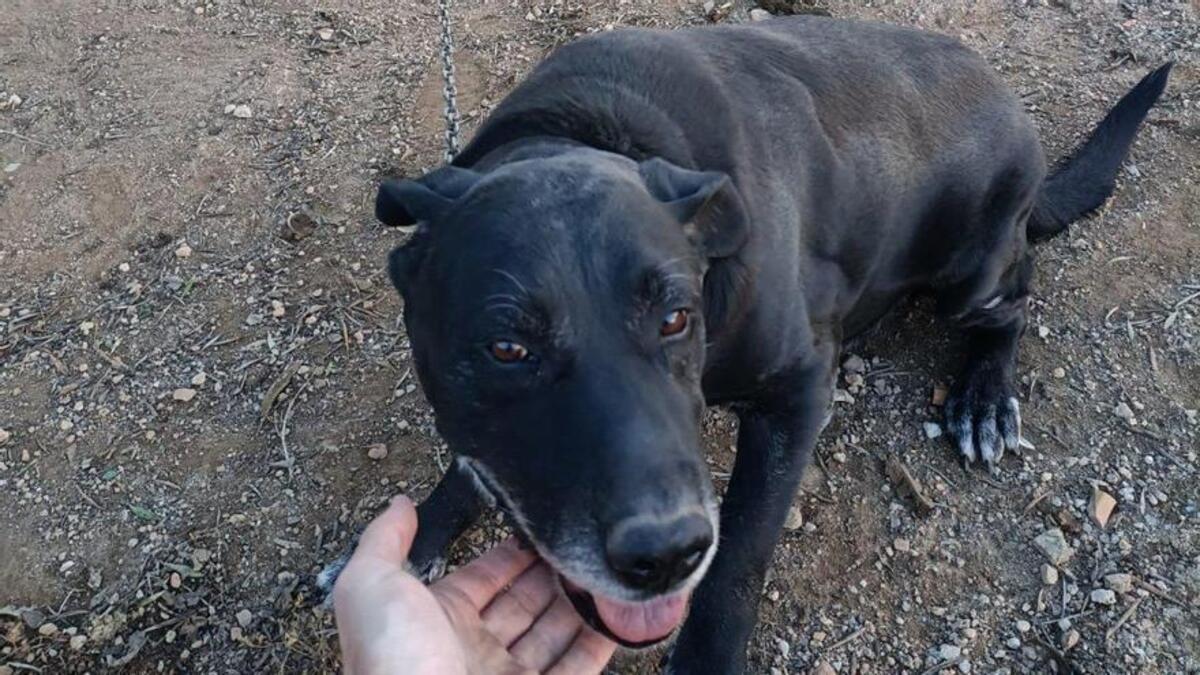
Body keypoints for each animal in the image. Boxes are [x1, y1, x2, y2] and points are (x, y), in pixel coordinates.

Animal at [352, 17, 1161, 672]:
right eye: (506, 349)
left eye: (675, 318)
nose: (664, 556)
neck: (590, 128)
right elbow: (472, 465)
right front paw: (422, 531)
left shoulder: (798, 392)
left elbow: (741, 549)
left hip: (972, 274)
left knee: (1015, 300)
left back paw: (985, 397)